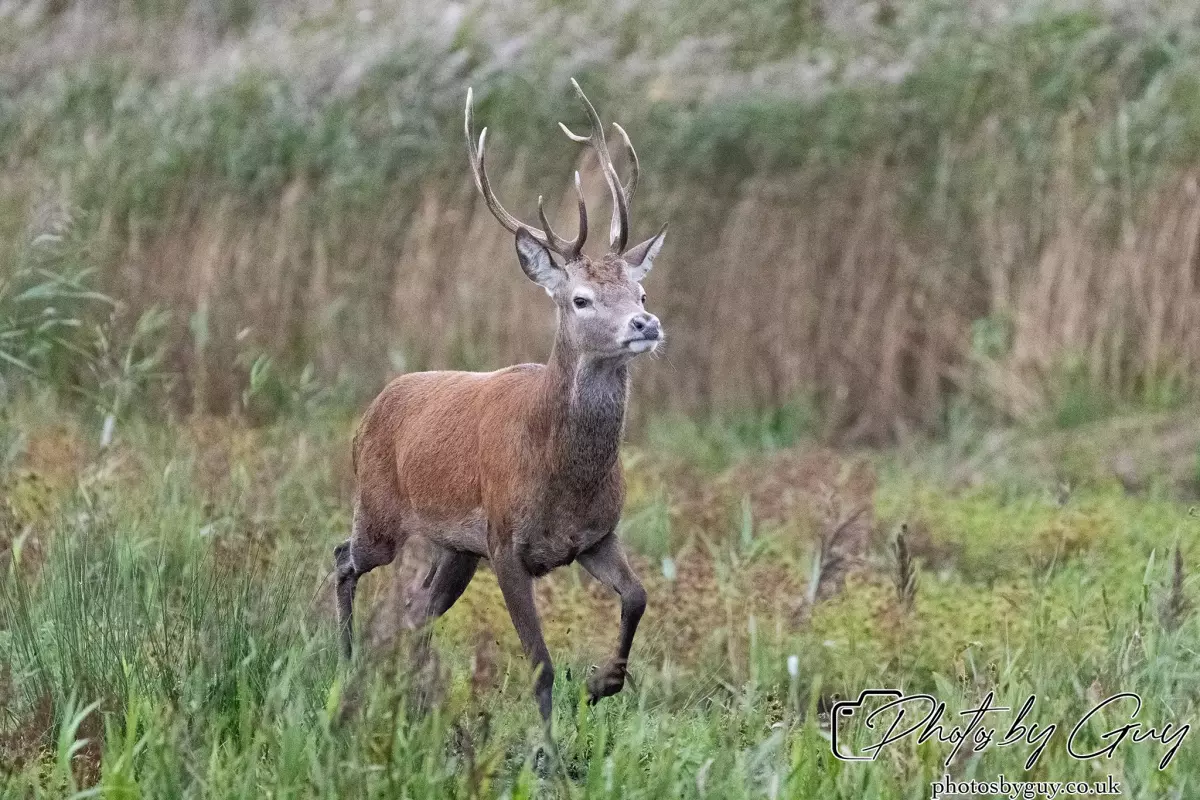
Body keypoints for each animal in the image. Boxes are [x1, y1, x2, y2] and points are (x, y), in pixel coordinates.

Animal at [334, 79, 667, 726]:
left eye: (640, 291)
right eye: (581, 299)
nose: (647, 323)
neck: (562, 473)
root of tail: (369, 411)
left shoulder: (595, 536)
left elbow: (638, 597)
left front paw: (602, 683)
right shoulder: (506, 544)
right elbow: (539, 663)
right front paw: (551, 745)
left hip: (454, 548)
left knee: (415, 610)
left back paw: (413, 696)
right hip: (381, 510)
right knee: (343, 557)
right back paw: (345, 665)